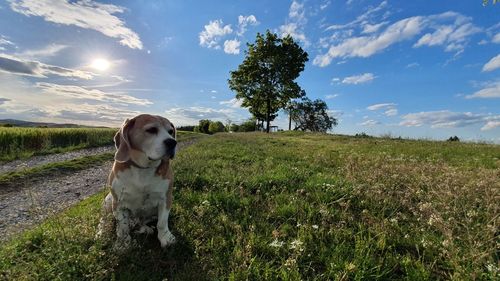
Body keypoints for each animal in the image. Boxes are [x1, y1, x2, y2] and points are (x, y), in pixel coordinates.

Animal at [96, 112, 177, 248]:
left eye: (170, 131)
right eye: (151, 130)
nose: (173, 142)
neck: (143, 167)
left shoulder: (166, 198)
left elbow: (162, 222)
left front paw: (166, 238)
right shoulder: (119, 203)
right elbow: (123, 227)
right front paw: (123, 244)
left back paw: (145, 229)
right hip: (108, 200)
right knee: (104, 220)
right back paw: (100, 233)